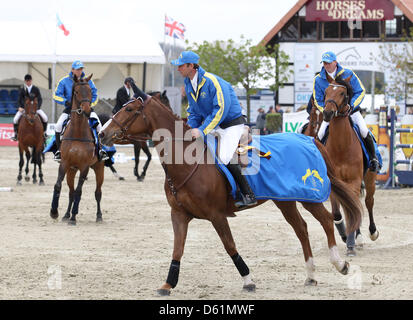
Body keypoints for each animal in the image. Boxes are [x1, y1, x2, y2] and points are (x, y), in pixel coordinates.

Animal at [50, 74, 104, 225]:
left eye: (90, 91)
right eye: (76, 92)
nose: (86, 110)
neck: (78, 132)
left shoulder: (84, 166)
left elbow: (79, 191)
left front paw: (74, 217)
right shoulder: (65, 164)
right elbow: (59, 186)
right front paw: (54, 212)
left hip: (99, 168)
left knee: (98, 192)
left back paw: (99, 216)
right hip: (72, 170)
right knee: (71, 192)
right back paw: (66, 215)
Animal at [99, 97, 360, 296]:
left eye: (129, 110)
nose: (102, 134)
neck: (187, 162)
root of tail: (308, 139)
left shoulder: (217, 216)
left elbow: (230, 245)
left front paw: (248, 280)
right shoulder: (179, 215)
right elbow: (177, 249)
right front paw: (168, 283)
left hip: (307, 197)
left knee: (325, 220)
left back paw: (340, 264)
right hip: (284, 200)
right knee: (301, 229)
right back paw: (311, 274)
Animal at [314, 76, 378, 256]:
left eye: (343, 93)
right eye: (326, 91)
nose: (328, 113)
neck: (341, 146)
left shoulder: (354, 181)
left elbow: (355, 207)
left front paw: (351, 244)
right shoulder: (335, 183)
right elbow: (337, 213)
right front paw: (345, 237)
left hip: (369, 179)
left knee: (368, 202)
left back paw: (370, 233)